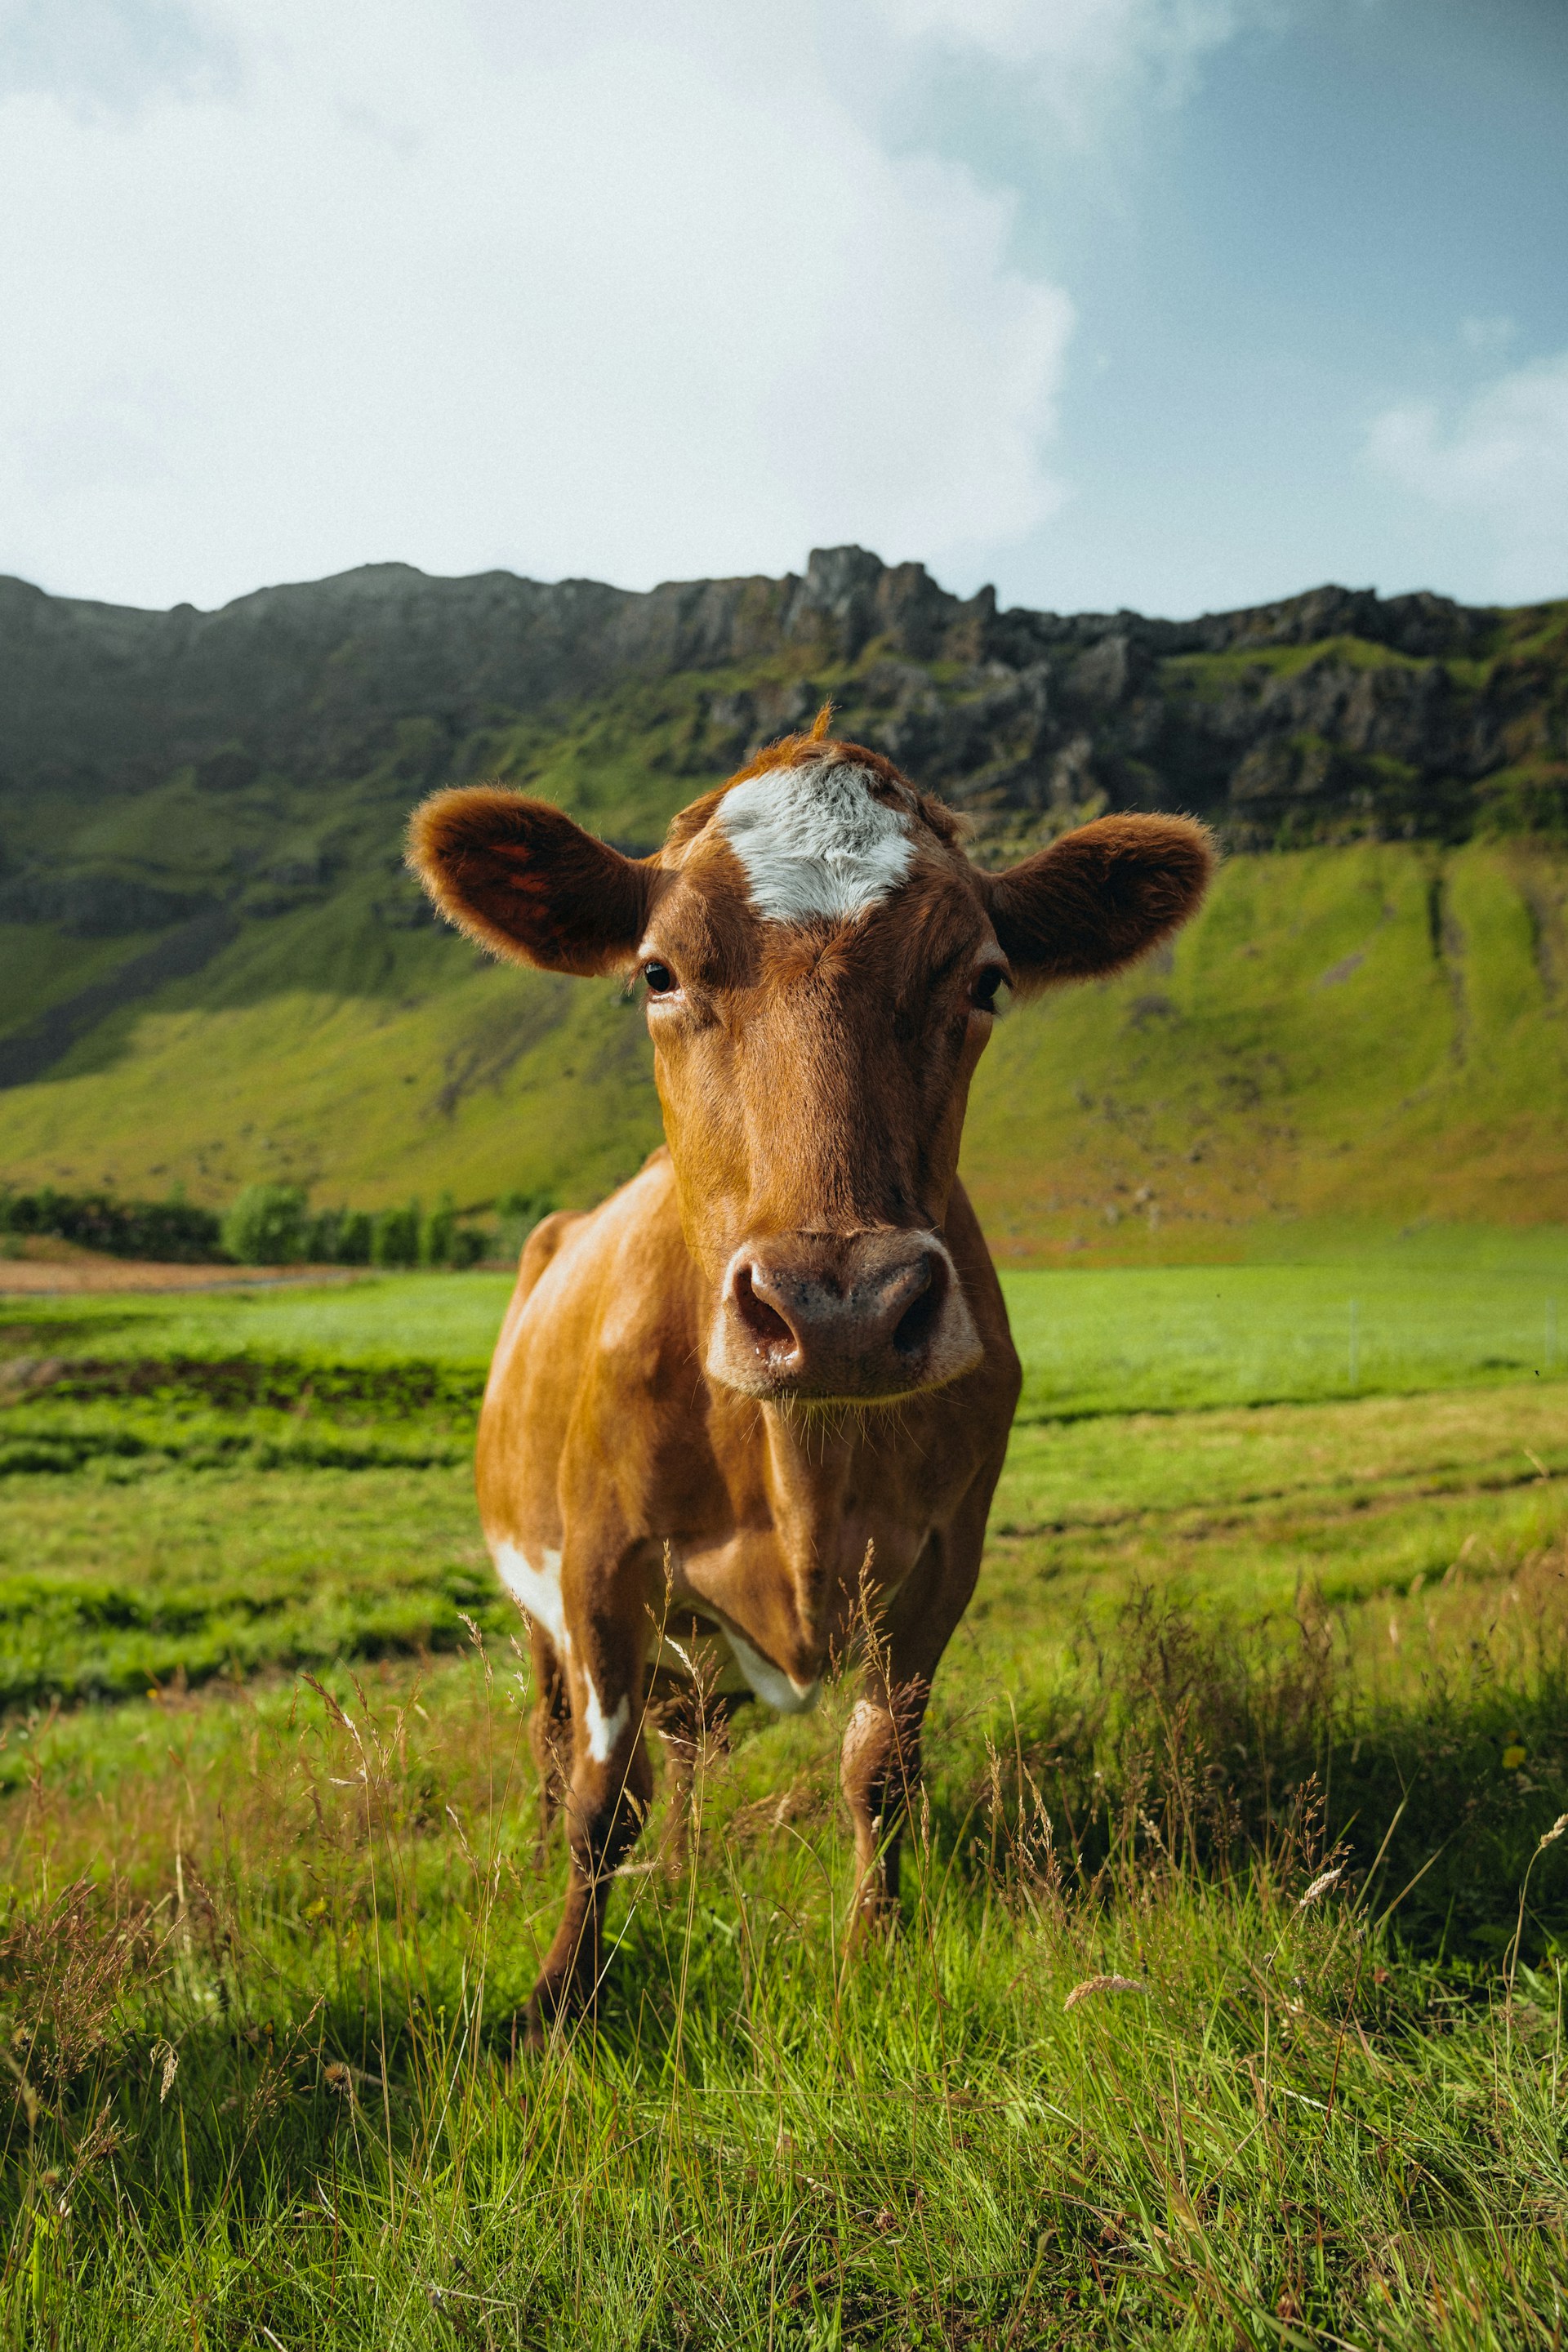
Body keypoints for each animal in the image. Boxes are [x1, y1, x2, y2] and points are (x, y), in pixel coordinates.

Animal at [409, 716, 1212, 2040]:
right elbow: (598, 1804)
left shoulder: (940, 1564)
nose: (839, 1310)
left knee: (689, 1747)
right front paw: (560, 1997)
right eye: (658, 974)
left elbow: (878, 1772)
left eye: (984, 979)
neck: (803, 1467)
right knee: (552, 1736)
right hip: (536, 1600)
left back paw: (688, 1868)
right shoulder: (598, 1570)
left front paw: (870, 1953)